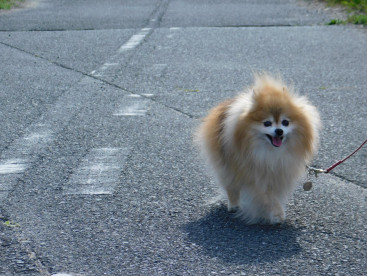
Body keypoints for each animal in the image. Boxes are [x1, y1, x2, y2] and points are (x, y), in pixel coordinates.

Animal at [197, 73, 320, 224]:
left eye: (285, 122)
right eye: (267, 123)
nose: (279, 131)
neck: (271, 153)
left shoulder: (278, 172)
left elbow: (273, 194)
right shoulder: (253, 174)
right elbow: (266, 196)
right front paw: (276, 214)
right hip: (225, 164)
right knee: (231, 186)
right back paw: (233, 205)